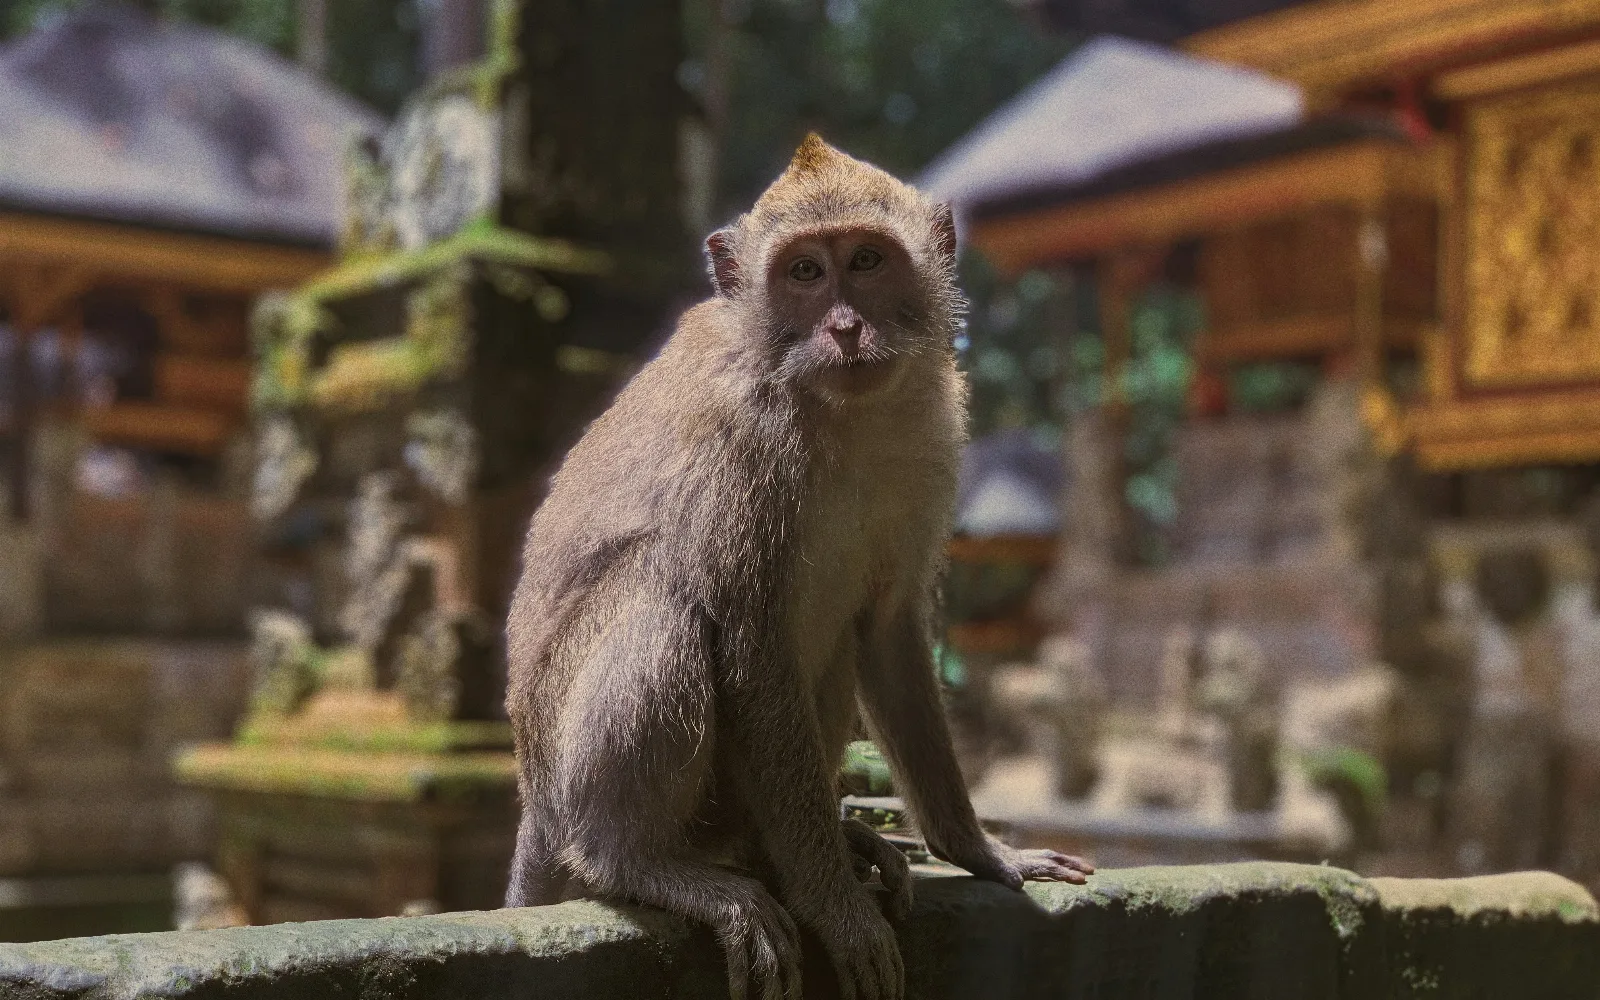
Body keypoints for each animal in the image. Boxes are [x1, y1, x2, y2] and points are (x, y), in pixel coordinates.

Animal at [504, 133, 1093, 1000]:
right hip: (566, 768)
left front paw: (979, 851)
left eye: (867, 260)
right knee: (665, 600)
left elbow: (889, 632)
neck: (836, 410)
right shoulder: (742, 445)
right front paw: (836, 909)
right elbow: (753, 651)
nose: (846, 327)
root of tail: (532, 797)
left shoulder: (933, 434)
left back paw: (803, 850)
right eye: (805, 273)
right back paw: (644, 864)